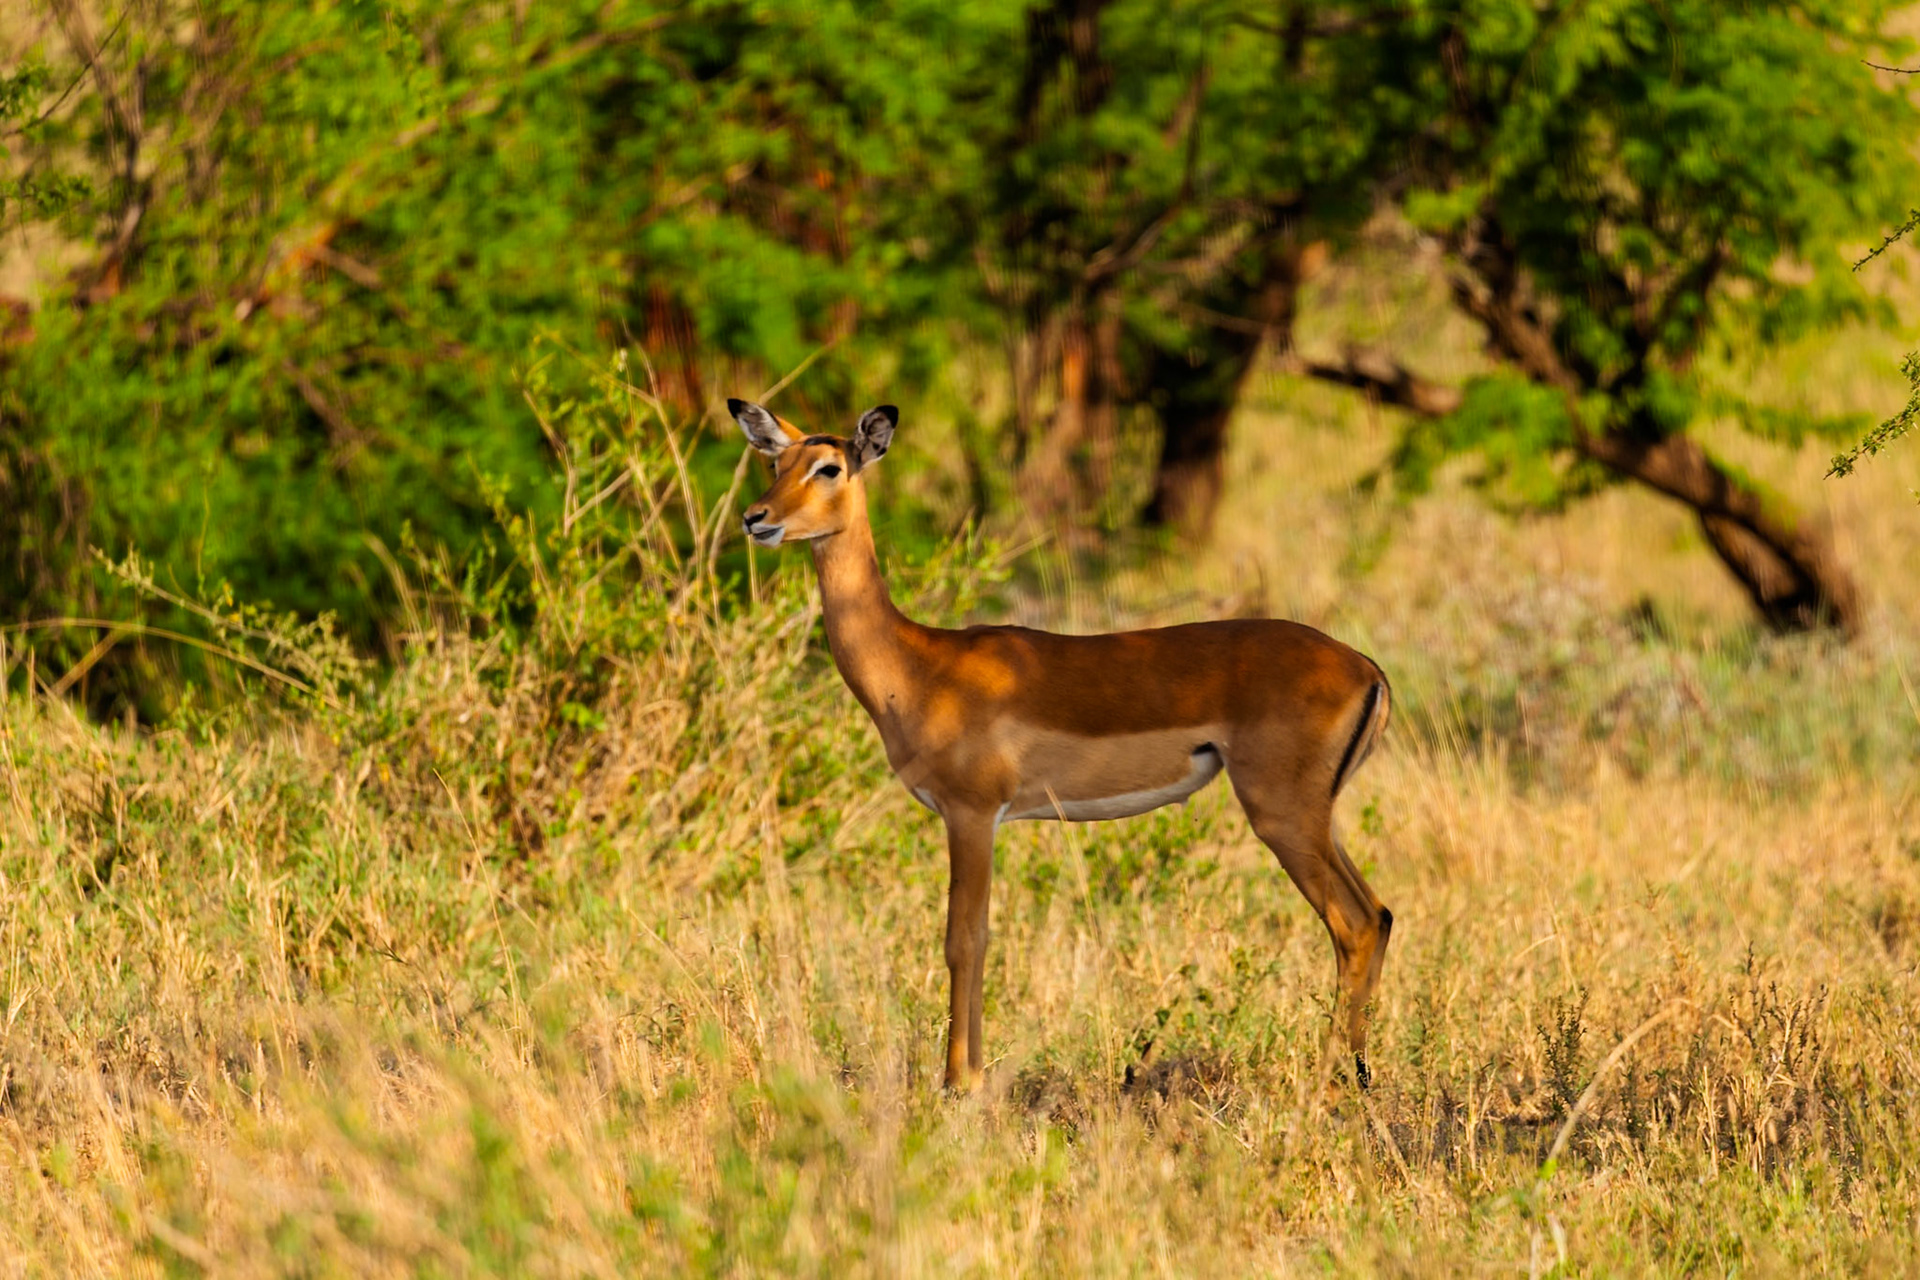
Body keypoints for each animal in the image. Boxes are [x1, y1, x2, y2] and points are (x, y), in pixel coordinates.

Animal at [731, 398, 1394, 1092]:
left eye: (829, 467)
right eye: (776, 462)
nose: (756, 518)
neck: (919, 666)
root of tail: (1366, 667)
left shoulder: (971, 814)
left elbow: (964, 938)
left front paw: (958, 1083)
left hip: (1281, 814)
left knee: (1353, 923)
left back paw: (1327, 1082)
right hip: (1315, 818)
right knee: (1378, 915)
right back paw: (1356, 1074)